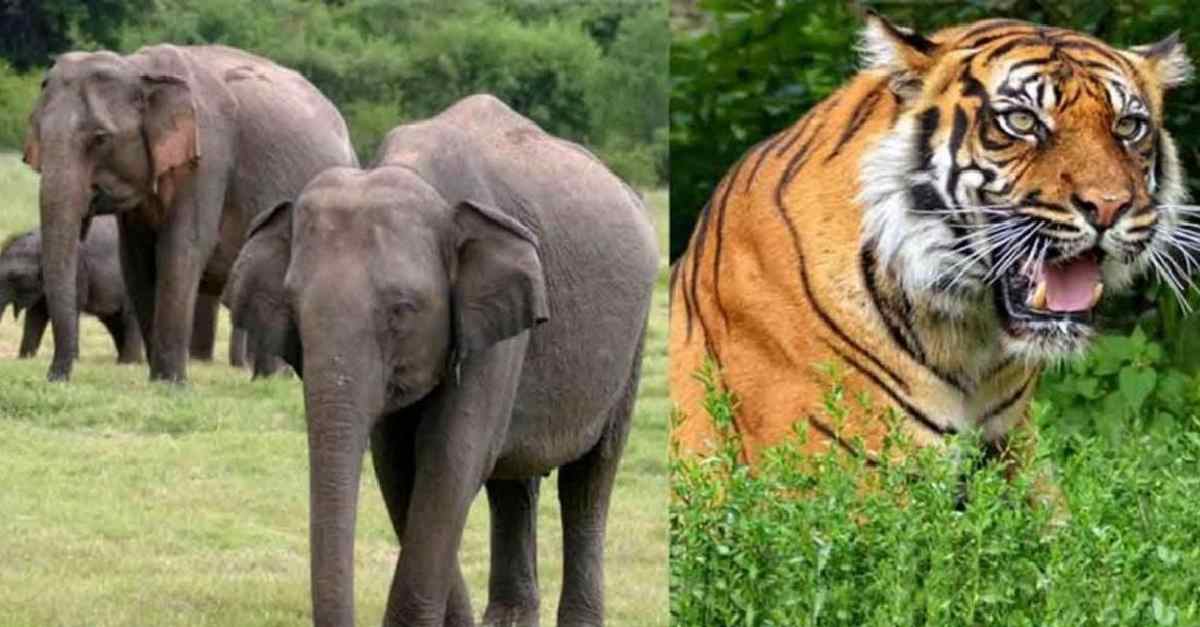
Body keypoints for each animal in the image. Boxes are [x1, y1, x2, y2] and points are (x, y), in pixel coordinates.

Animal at [0, 215, 142, 363]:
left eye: (15, 277)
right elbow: (36, 314)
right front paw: (25, 359)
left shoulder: (77, 272)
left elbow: (69, 308)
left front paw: (73, 360)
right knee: (114, 321)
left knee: (129, 317)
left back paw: (129, 363)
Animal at [23, 43, 357, 382]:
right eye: (37, 130)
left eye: (101, 138)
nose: (56, 378)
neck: (139, 68)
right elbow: (137, 260)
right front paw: (158, 380)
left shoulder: (208, 156)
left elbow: (182, 248)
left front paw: (171, 383)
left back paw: (275, 378)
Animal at [225, 94, 659, 627]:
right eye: (292, 308)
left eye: (401, 310)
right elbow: (399, 467)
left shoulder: (496, 325)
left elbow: (449, 457)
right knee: (514, 483)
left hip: (632, 340)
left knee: (590, 477)